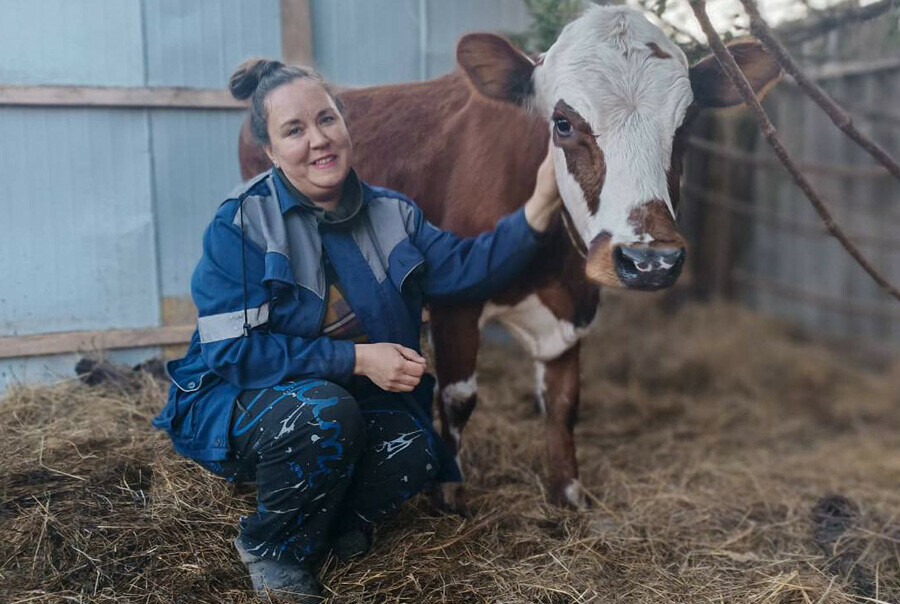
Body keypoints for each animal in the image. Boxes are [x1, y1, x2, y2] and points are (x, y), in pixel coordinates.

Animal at [239, 5, 780, 510]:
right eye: (563, 123)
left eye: (686, 125)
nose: (651, 260)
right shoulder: (454, 303)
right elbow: (458, 399)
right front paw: (451, 492)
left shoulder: (572, 306)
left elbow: (563, 402)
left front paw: (567, 493)